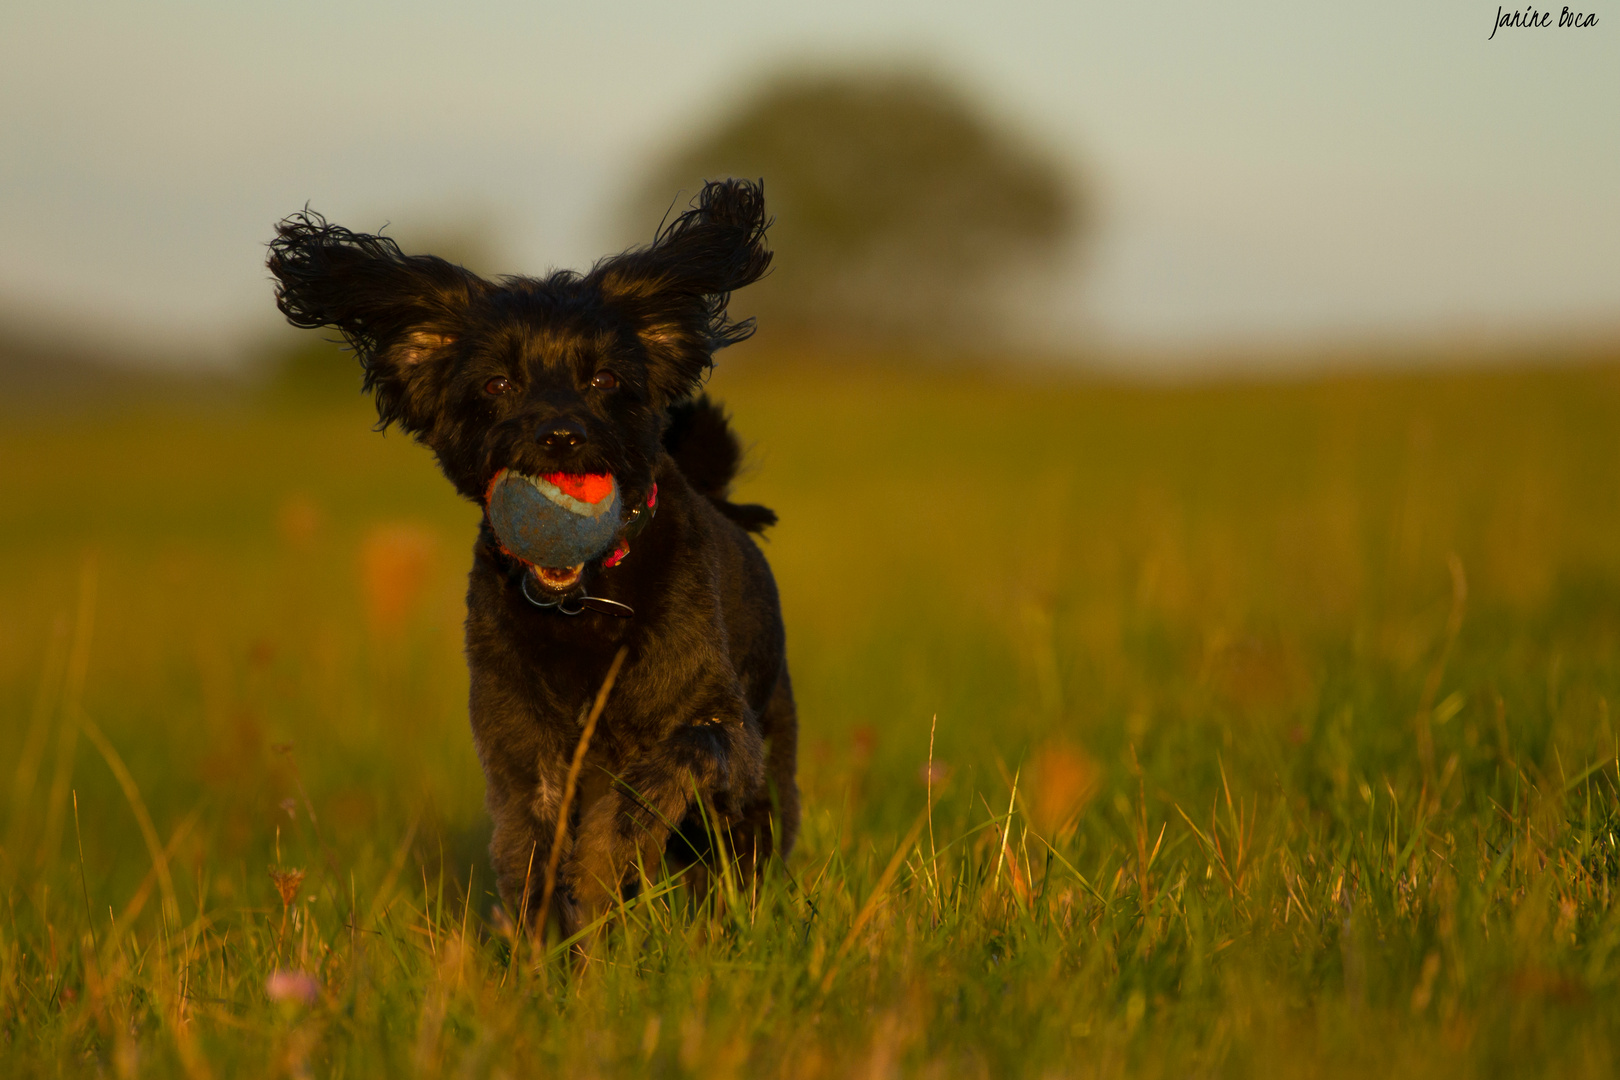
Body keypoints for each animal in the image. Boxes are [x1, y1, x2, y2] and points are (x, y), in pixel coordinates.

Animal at [270, 179, 797, 939]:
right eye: (497, 385)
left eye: (604, 379)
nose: (560, 436)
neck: (581, 609)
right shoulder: (524, 760)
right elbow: (533, 860)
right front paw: (546, 951)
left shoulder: (721, 724)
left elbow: (663, 772)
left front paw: (608, 854)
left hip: (765, 773)